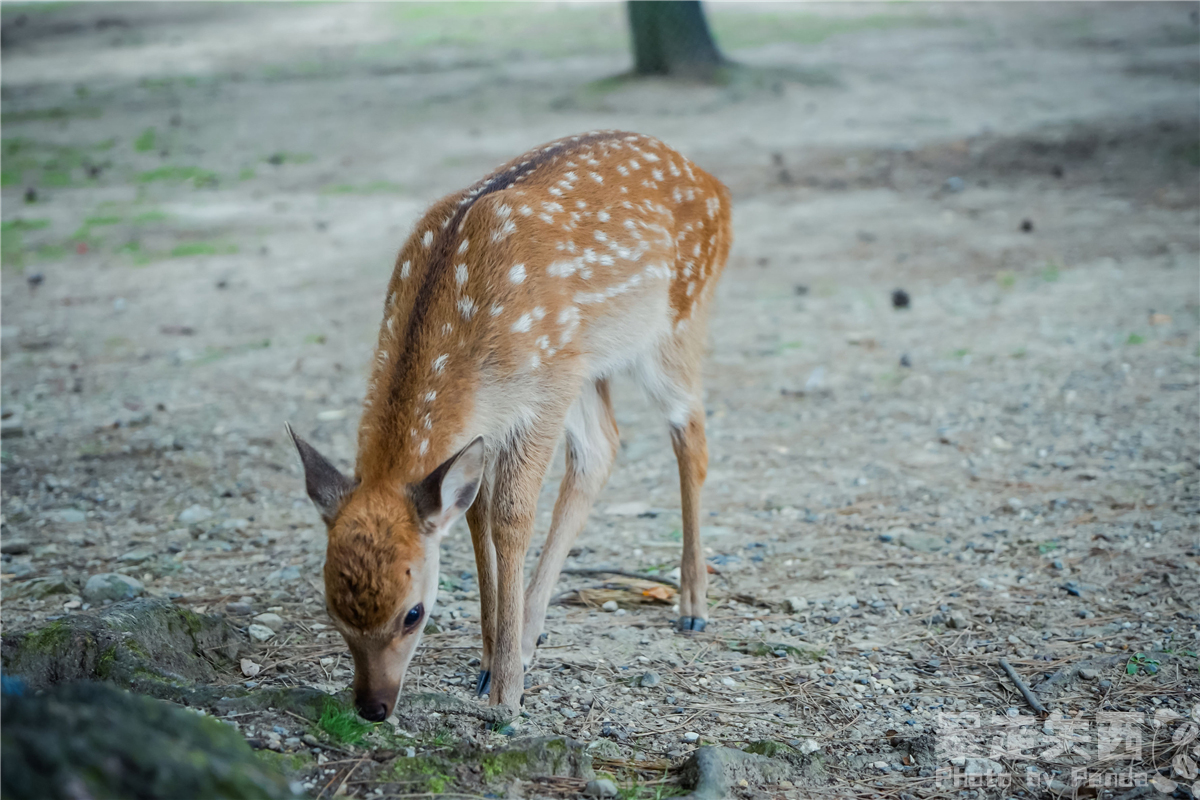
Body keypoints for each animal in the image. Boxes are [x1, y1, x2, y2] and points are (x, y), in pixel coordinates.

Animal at [288, 131, 729, 719]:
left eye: (413, 613)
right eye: (331, 609)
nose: (372, 707)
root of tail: (715, 185)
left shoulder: (540, 395)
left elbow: (511, 518)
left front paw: (506, 695)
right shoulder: (494, 418)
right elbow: (475, 516)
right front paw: (488, 660)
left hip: (675, 323)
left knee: (691, 433)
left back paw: (692, 607)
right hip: (587, 363)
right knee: (602, 448)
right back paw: (529, 637)